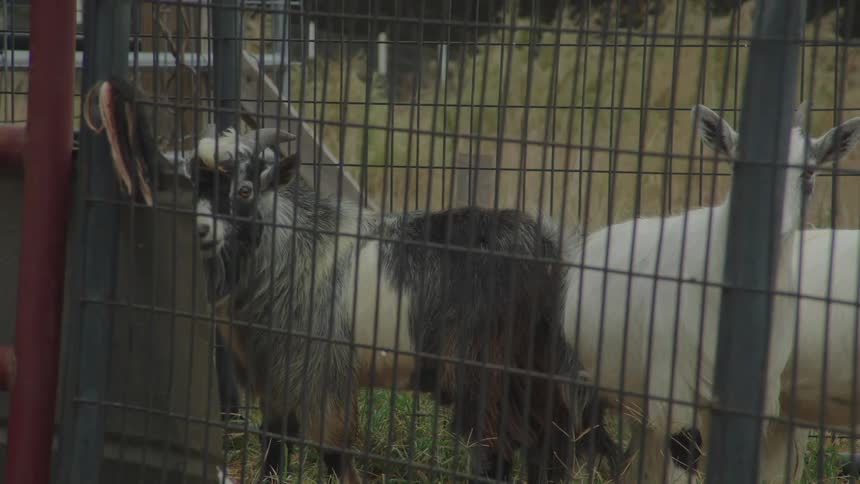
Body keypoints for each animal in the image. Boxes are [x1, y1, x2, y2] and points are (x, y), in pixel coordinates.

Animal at [84, 77, 626, 484]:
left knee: (499, 454)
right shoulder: (278, 371)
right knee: (547, 450)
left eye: (244, 189)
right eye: (191, 184)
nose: (199, 229)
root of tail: (553, 249)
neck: (293, 250)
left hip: (486, 371)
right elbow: (275, 442)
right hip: (532, 376)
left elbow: (331, 452)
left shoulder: (320, 370)